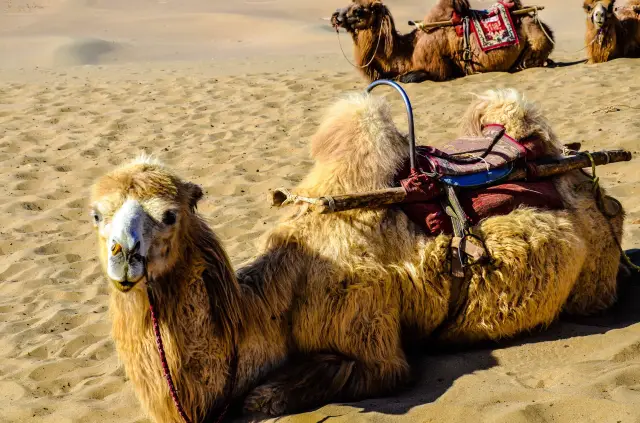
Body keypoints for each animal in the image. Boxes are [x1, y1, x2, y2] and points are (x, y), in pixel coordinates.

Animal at [91, 89, 625, 422]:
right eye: (97, 215)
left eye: (168, 215)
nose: (124, 257)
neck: (274, 301)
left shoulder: (372, 339)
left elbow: (265, 398)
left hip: (595, 277)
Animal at [330, 0, 555, 83]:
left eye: (358, 10)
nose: (335, 16)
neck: (408, 51)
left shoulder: (438, 69)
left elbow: (407, 78)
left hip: (534, 43)